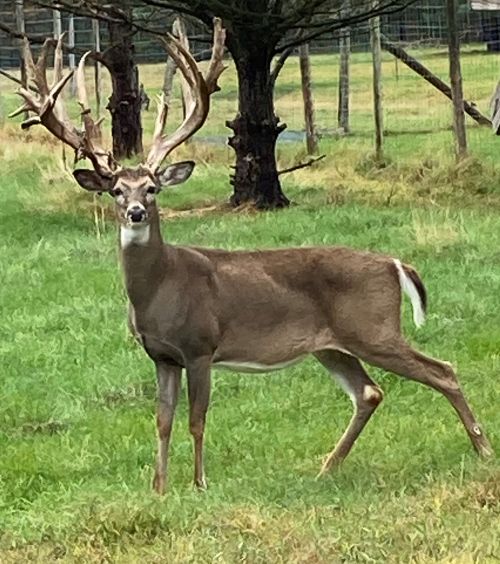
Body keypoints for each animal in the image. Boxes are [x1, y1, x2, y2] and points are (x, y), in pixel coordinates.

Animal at [11, 20, 492, 494]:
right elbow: (162, 422)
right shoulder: (162, 355)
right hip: (331, 345)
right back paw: (326, 468)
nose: (135, 212)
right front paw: (159, 489)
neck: (160, 290)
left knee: (442, 370)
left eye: (152, 188)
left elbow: (196, 420)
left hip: (373, 327)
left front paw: (200, 484)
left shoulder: (200, 345)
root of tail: (395, 264)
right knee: (369, 393)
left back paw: (482, 449)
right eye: (115, 190)